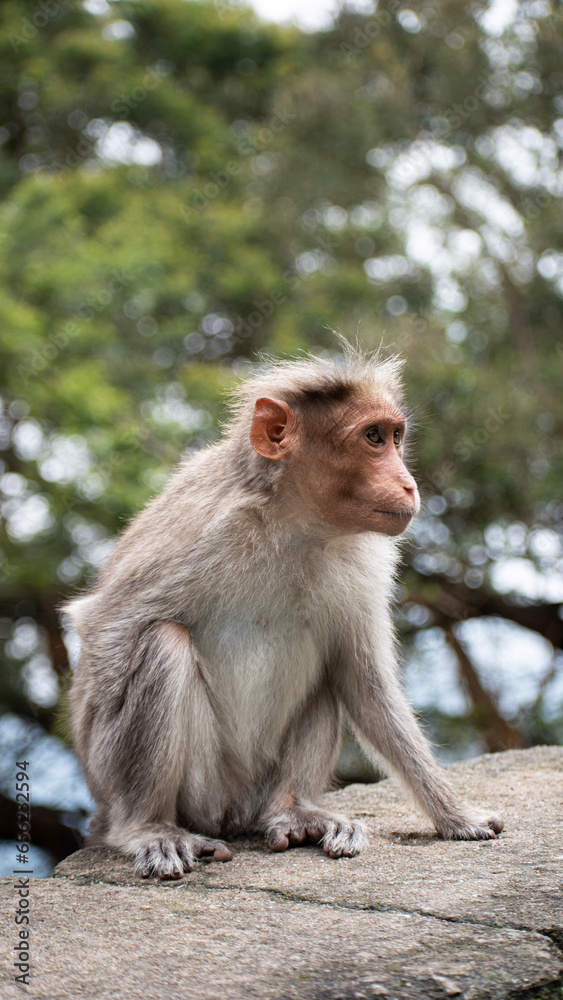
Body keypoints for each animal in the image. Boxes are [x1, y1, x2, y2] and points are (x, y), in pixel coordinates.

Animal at [64, 346, 504, 884]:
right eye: (373, 437)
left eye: (396, 437)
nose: (408, 484)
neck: (297, 526)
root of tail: (233, 813)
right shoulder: (202, 530)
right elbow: (105, 622)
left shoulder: (364, 562)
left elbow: (363, 680)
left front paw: (455, 816)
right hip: (204, 790)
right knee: (161, 640)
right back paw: (143, 825)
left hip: (257, 788)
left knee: (330, 671)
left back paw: (293, 813)